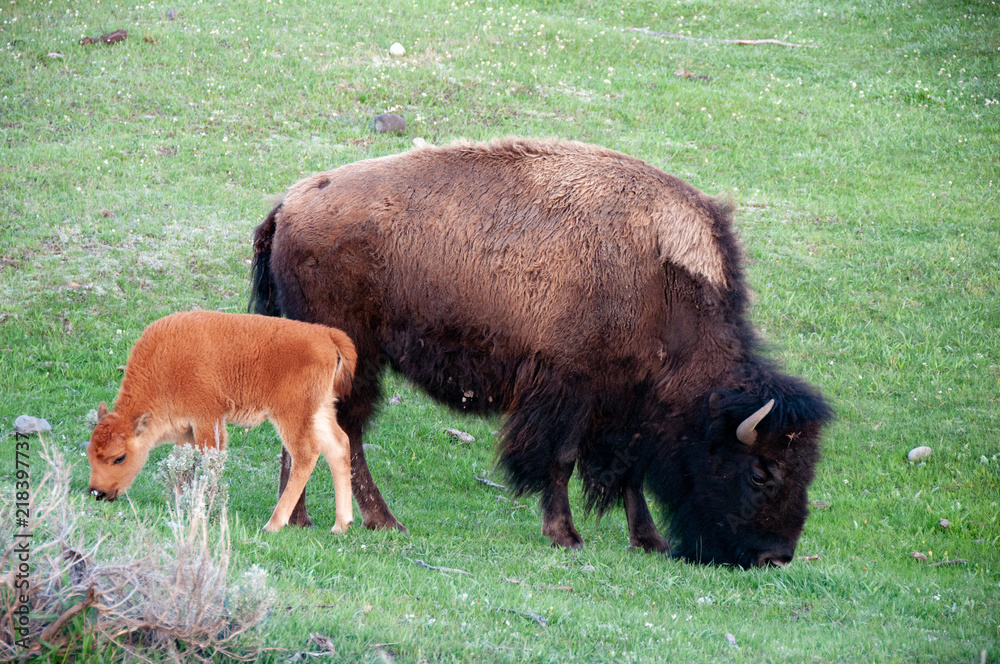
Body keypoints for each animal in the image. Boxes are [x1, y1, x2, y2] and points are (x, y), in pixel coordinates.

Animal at [88, 310, 358, 536]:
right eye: (90, 454)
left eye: (120, 457)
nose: (97, 493)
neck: (165, 362)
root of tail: (325, 335)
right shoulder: (185, 430)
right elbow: (183, 467)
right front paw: (182, 504)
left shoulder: (208, 419)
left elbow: (208, 461)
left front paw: (204, 507)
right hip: (319, 411)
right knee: (339, 446)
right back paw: (341, 525)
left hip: (292, 416)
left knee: (306, 454)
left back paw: (273, 524)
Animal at [254, 137, 832, 568]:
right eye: (760, 472)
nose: (777, 557)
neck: (662, 285)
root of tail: (289, 205)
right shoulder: (570, 391)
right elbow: (561, 460)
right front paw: (565, 535)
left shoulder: (622, 407)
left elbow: (629, 474)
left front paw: (649, 540)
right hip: (356, 360)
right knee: (346, 433)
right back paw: (377, 522)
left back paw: (307, 518)